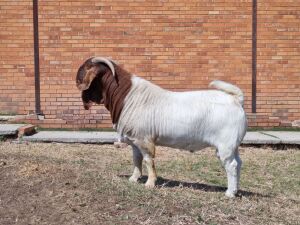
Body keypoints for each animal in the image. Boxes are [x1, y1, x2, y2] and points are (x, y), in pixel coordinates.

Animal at [76, 56, 247, 197]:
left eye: (84, 68)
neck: (127, 96)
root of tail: (236, 99)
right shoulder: (135, 141)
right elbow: (136, 160)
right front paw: (133, 179)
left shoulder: (144, 139)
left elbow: (148, 160)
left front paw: (150, 183)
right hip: (233, 146)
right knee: (238, 163)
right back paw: (236, 190)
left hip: (225, 145)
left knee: (231, 165)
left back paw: (229, 193)